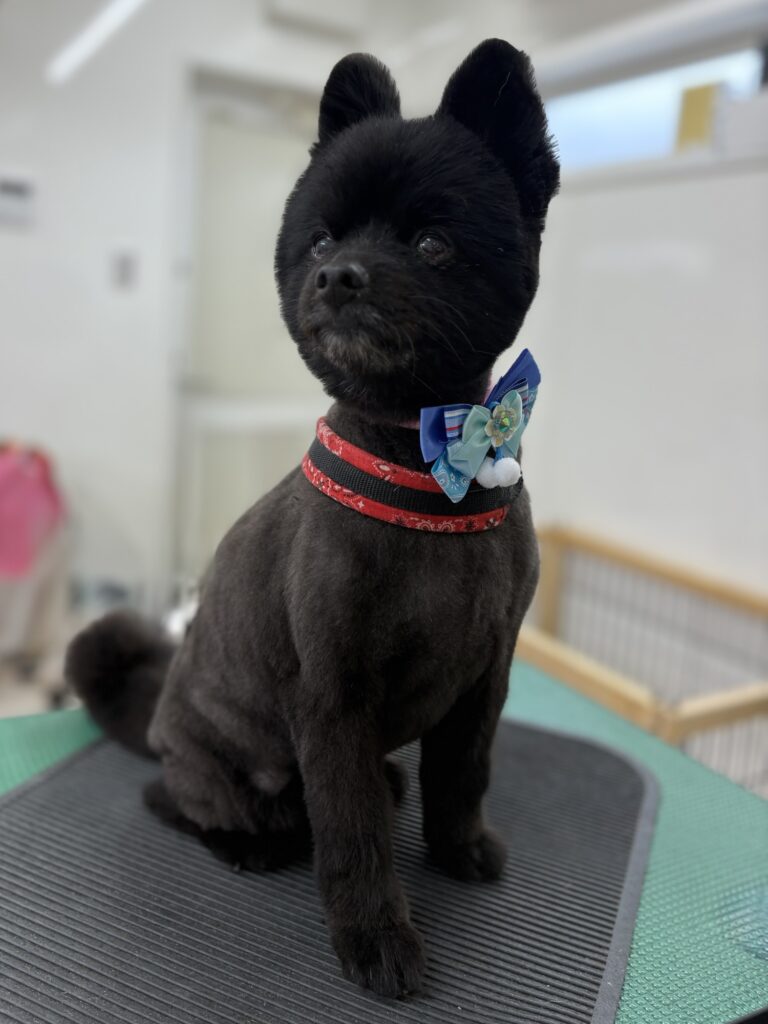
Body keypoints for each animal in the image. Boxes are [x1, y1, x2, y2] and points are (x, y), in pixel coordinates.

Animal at [66, 38, 559, 998]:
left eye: (432, 242)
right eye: (323, 239)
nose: (337, 276)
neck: (425, 478)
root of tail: (157, 719)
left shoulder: (486, 675)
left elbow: (463, 774)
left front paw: (458, 848)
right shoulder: (331, 698)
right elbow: (353, 835)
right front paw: (376, 939)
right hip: (215, 762)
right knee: (179, 800)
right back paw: (245, 839)